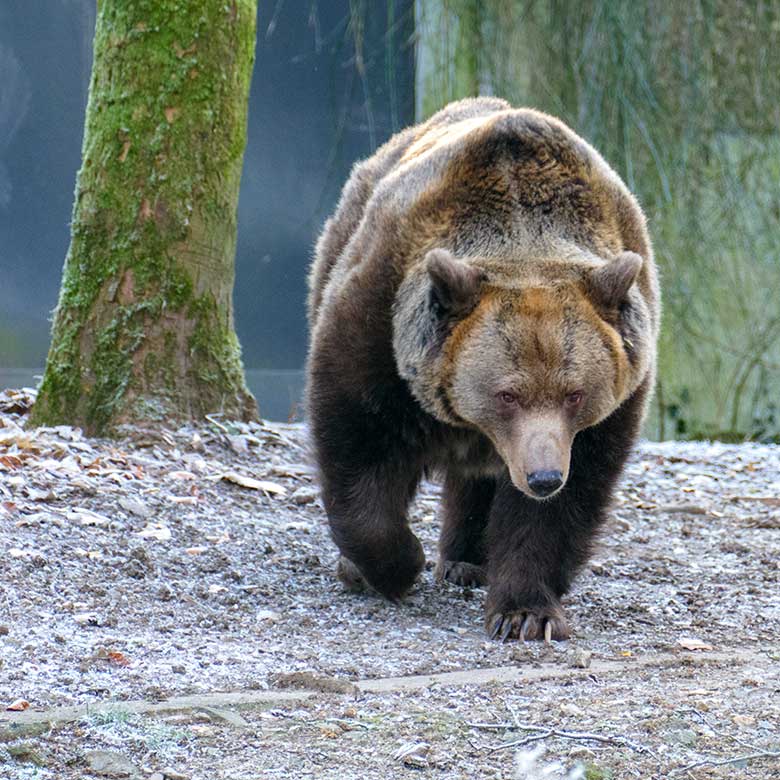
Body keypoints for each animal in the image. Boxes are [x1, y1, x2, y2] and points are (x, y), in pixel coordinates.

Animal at [304, 97, 660, 644]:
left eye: (574, 394)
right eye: (507, 394)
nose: (543, 476)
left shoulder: (608, 408)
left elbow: (564, 506)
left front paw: (526, 613)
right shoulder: (381, 326)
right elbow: (357, 440)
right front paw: (394, 564)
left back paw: (468, 560)